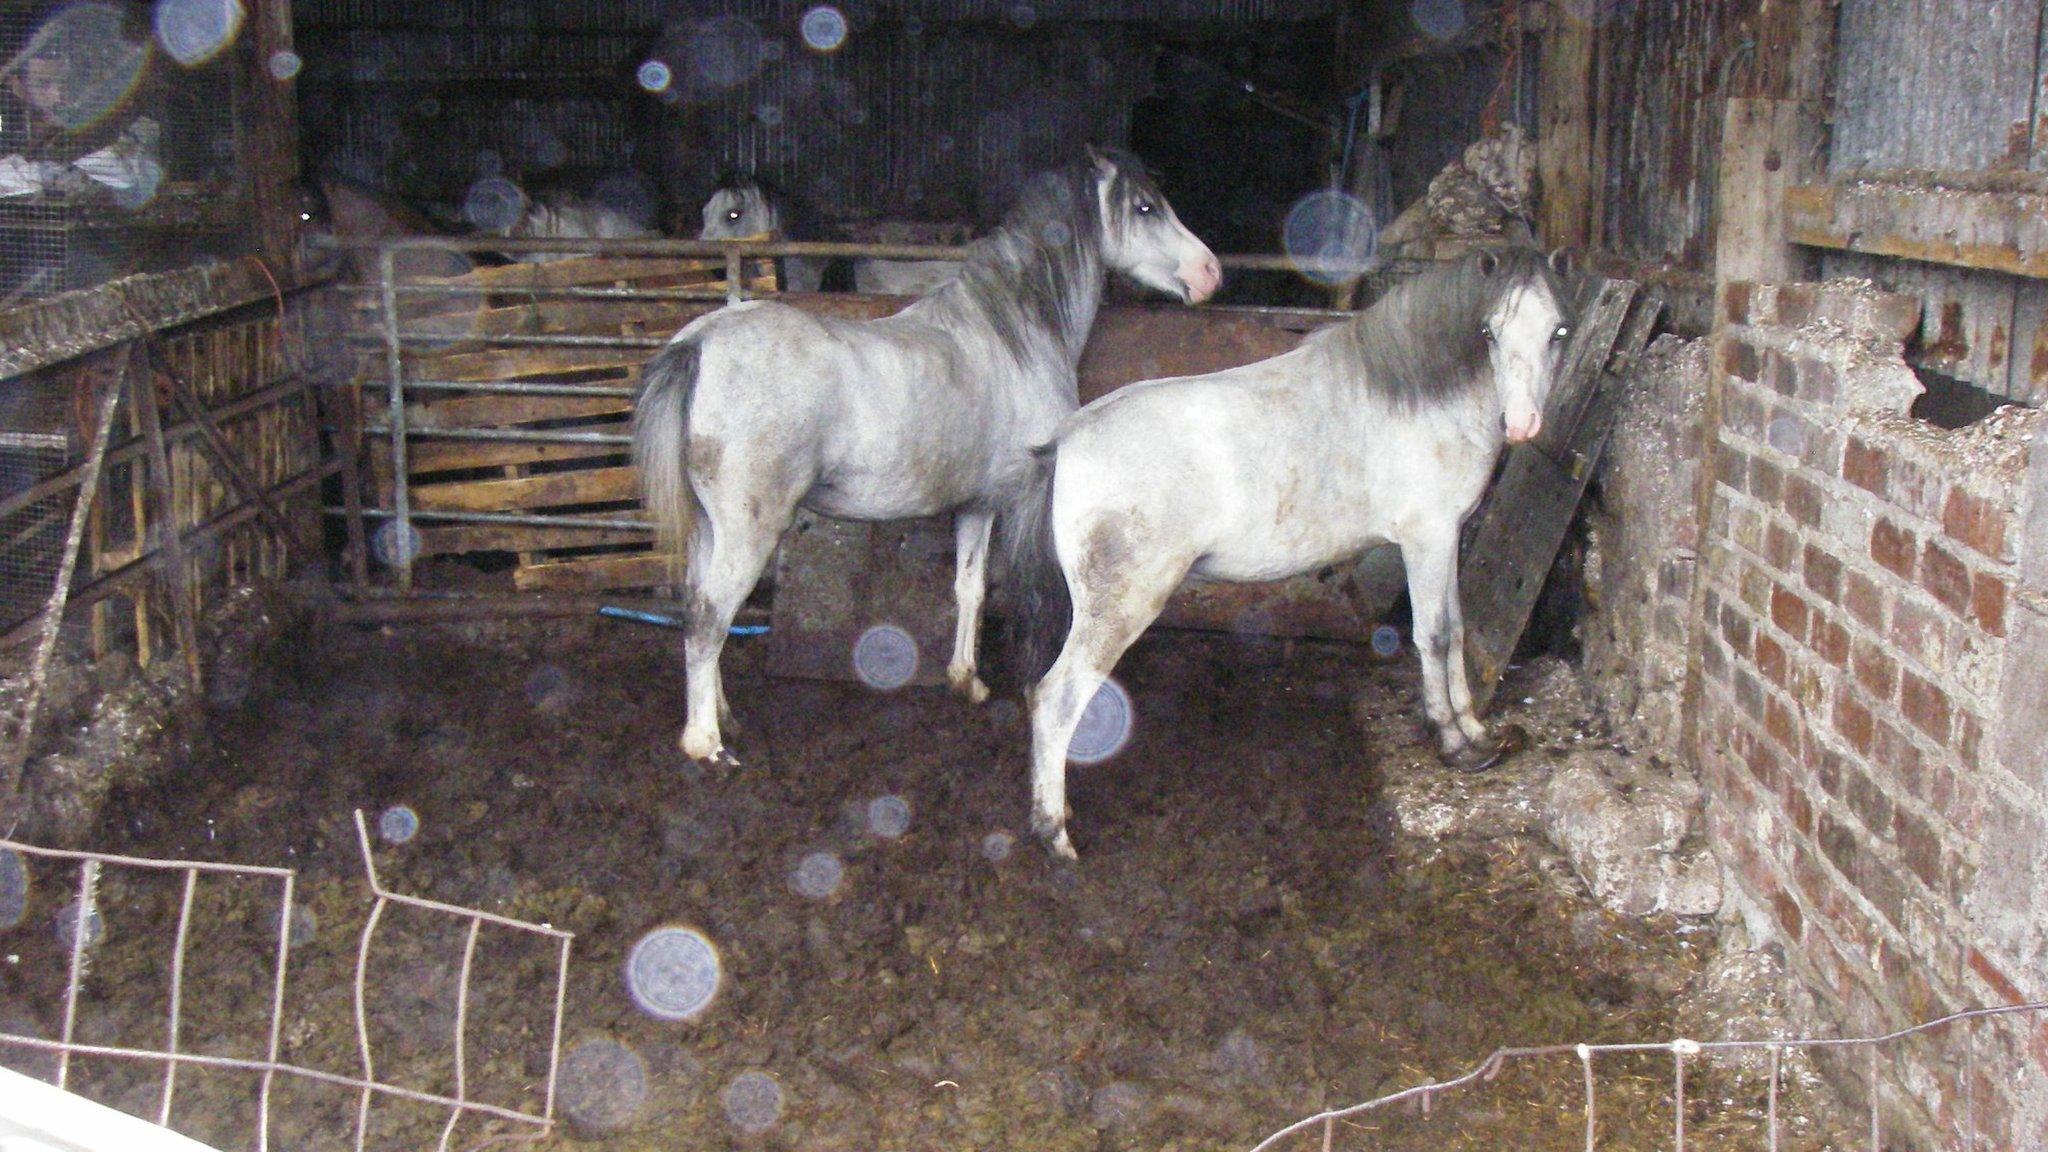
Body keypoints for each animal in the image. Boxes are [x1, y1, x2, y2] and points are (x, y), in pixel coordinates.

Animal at [630, 147, 1220, 766]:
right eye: (1145, 206)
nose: (1210, 271)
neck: (1011, 337)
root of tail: (698, 343)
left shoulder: (977, 505)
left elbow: (970, 587)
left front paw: (967, 681)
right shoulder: (1019, 502)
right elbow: (1025, 592)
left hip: (707, 528)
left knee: (699, 606)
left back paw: (723, 716)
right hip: (747, 532)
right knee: (709, 619)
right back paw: (707, 744)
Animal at [1015, 247, 1572, 852]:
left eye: (1558, 332)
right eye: (1489, 332)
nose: (1521, 424)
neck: (1421, 399)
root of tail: (1070, 437)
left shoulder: (1445, 538)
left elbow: (1459, 631)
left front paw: (1477, 733)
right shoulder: (1427, 538)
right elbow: (1436, 636)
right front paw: (1452, 742)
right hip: (1119, 610)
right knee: (1056, 699)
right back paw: (1055, 834)